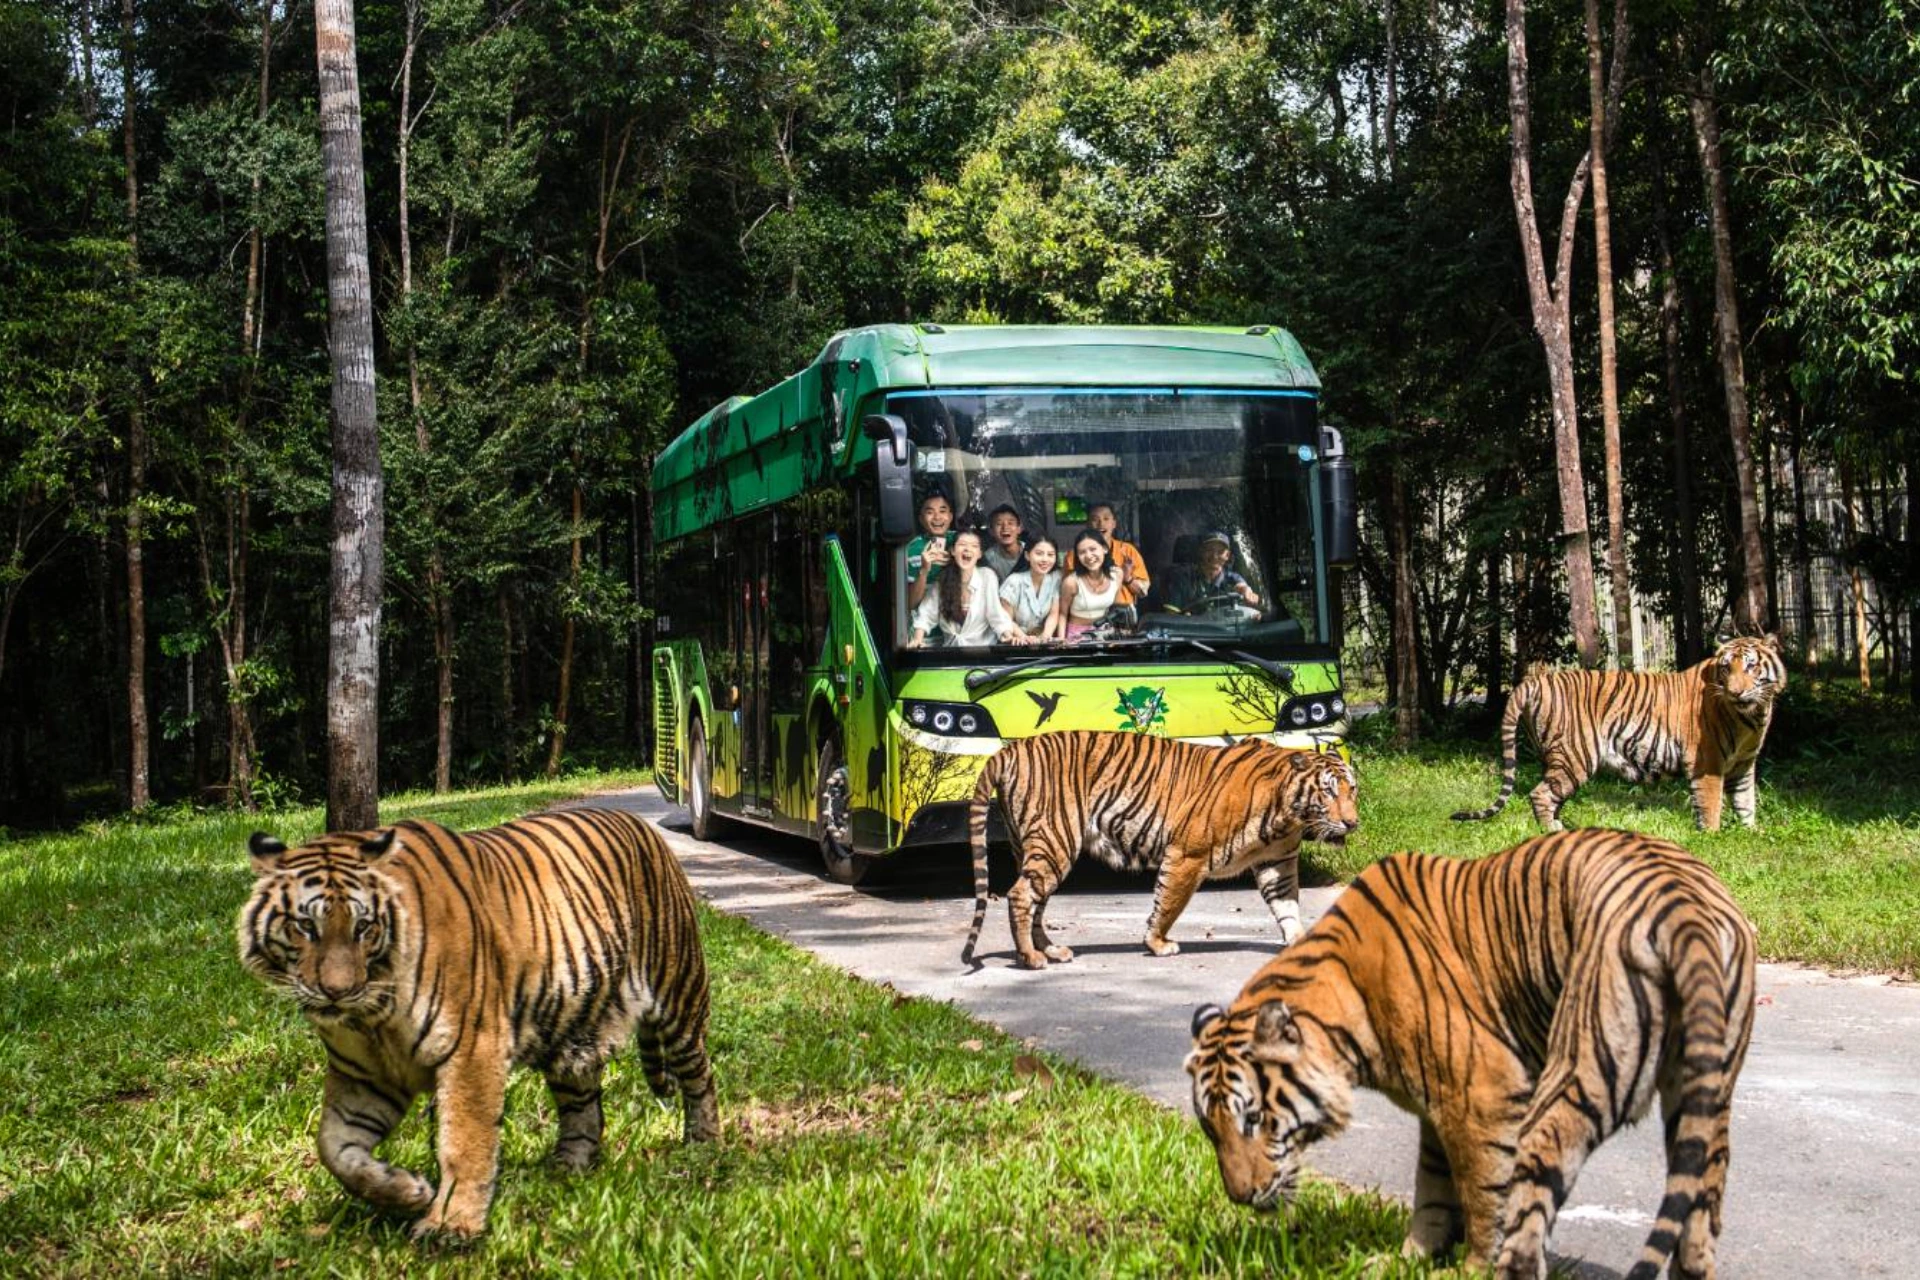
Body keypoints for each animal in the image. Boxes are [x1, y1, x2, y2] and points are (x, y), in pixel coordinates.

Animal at [237, 807, 717, 1243]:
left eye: (363, 927)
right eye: (305, 926)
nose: (338, 991)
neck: (373, 1016)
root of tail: (640, 824)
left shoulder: (470, 1050)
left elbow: (463, 1143)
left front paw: (451, 1225)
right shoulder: (364, 1076)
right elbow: (334, 1148)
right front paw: (406, 1191)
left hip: (679, 996)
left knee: (700, 1077)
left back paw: (701, 1147)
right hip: (571, 1034)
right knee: (583, 1109)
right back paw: (566, 1169)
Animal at [961, 730, 1358, 970]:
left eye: (1351, 790)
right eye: (1328, 792)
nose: (1353, 823)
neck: (1287, 815)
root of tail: (1010, 748)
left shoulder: (1277, 862)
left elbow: (1287, 907)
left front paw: (1300, 942)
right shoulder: (1187, 855)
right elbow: (1168, 904)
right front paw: (1157, 943)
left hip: (1036, 848)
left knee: (1036, 901)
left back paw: (1051, 951)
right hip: (1055, 842)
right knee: (1020, 895)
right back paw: (1031, 957)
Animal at [1187, 828, 1756, 1280]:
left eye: (1254, 1118)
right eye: (1210, 1129)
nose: (1240, 1196)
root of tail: (1684, 908)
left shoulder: (1482, 1096)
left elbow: (1484, 1193)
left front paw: (1468, 1267)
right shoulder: (1440, 1105)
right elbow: (1433, 1189)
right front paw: (1409, 1259)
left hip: (1577, 1076)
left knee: (1532, 1211)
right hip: (1702, 1098)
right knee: (1701, 1208)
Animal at [1453, 634, 1787, 832]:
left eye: (1751, 667)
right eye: (1727, 668)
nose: (1735, 692)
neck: (1754, 714)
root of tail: (1534, 681)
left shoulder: (1743, 764)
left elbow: (1745, 801)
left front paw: (1751, 833)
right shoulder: (1708, 763)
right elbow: (1711, 804)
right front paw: (1712, 838)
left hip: (1555, 757)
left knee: (1551, 794)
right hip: (1576, 756)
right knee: (1540, 794)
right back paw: (1554, 832)